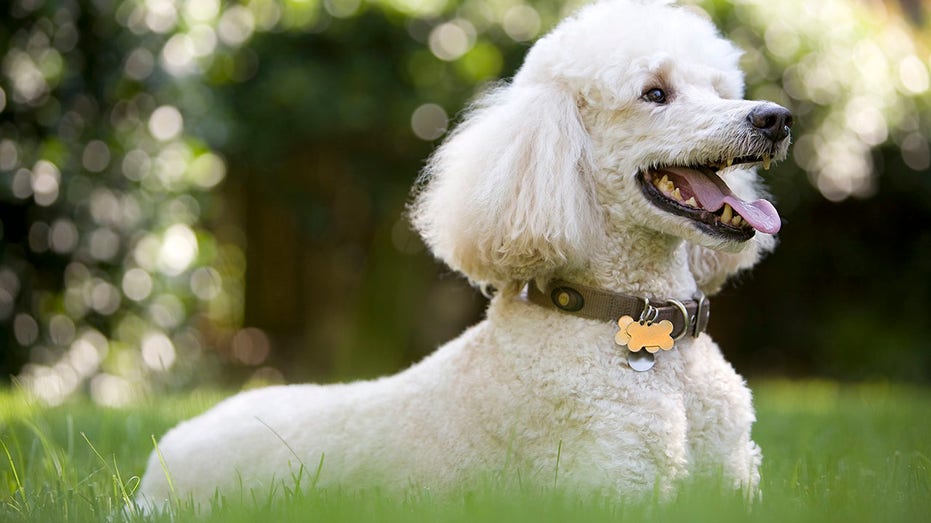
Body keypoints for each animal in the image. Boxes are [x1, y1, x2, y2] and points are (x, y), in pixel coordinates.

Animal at [137, 0, 792, 510]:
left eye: (719, 89)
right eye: (655, 93)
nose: (777, 118)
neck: (635, 322)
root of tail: (159, 457)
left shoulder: (734, 482)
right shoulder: (610, 486)